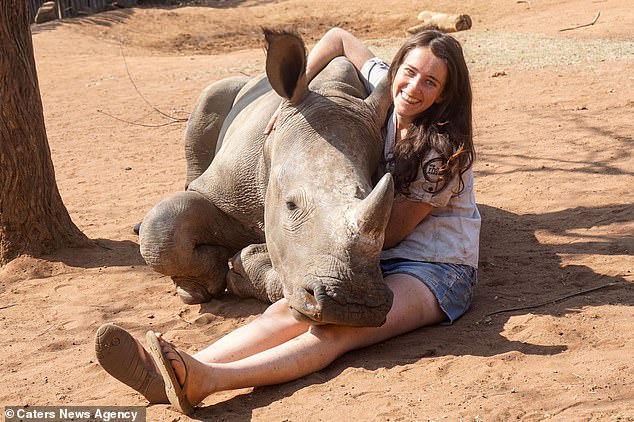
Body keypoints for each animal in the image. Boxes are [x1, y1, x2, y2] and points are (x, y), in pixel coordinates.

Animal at [140, 28, 392, 326]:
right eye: (291, 205)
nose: (354, 306)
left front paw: (248, 268)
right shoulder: (222, 190)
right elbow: (162, 231)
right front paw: (200, 286)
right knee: (210, 99)